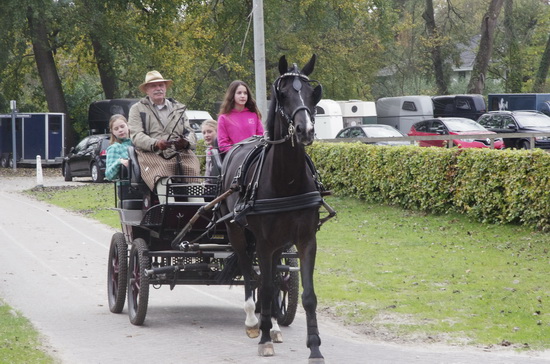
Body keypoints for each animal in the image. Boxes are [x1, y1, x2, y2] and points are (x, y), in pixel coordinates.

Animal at [220, 55, 330, 362]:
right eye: (283, 94)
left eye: (312, 93)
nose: (306, 130)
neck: (287, 179)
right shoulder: (264, 242)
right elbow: (266, 287)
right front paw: (264, 338)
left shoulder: (305, 239)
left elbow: (307, 296)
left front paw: (314, 347)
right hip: (236, 231)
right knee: (249, 271)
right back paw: (253, 320)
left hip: (280, 241)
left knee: (273, 275)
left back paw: (275, 325)